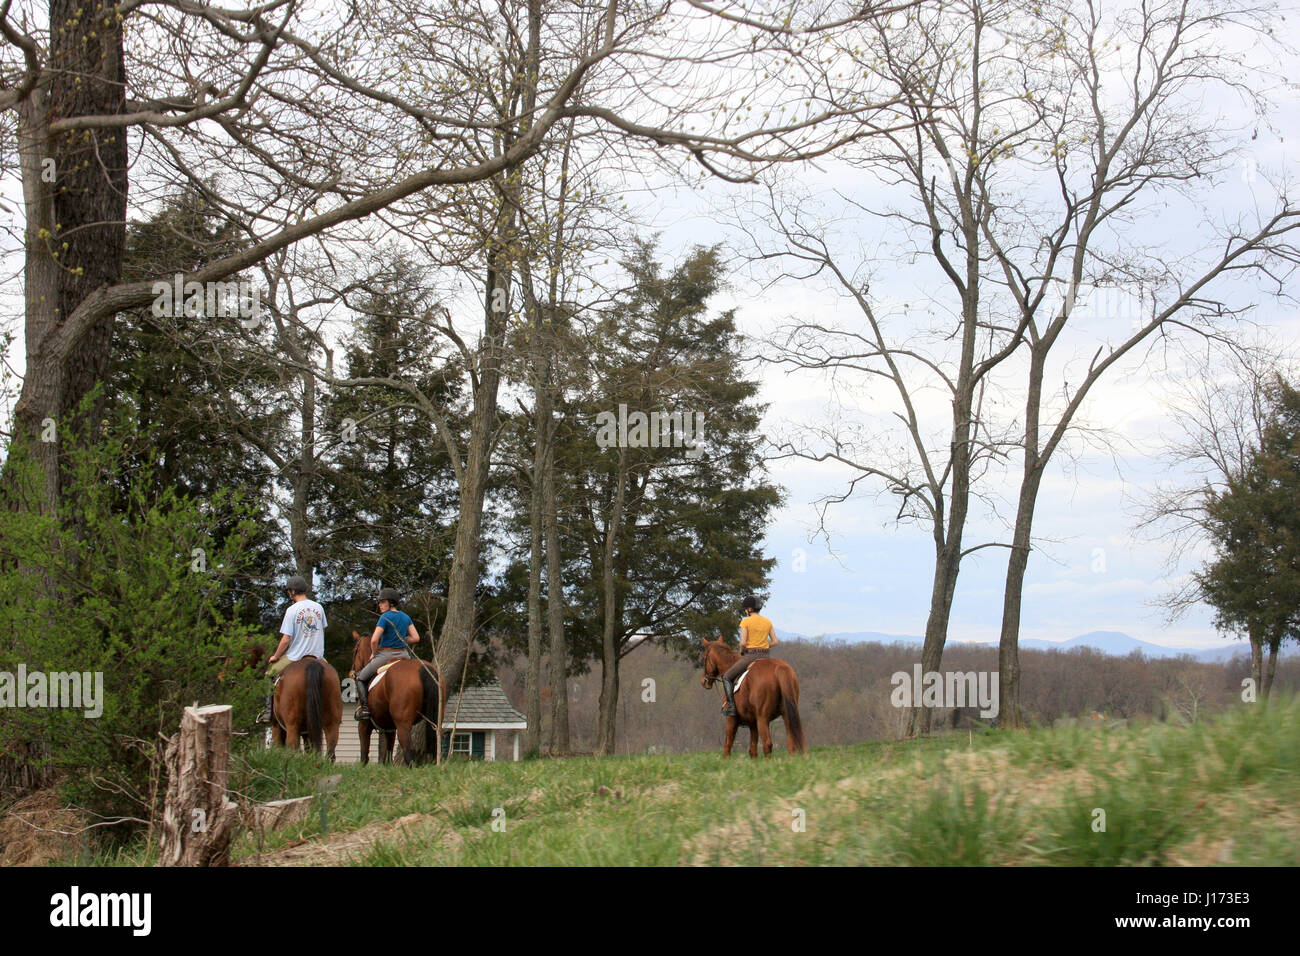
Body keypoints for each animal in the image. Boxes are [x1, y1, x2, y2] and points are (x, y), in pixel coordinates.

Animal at [348, 632, 444, 764]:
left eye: (354, 650)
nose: (352, 673)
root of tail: (423, 667)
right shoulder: (390, 729)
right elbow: (388, 757)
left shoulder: (363, 726)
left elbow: (364, 756)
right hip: (436, 720)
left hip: (403, 724)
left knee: (408, 753)